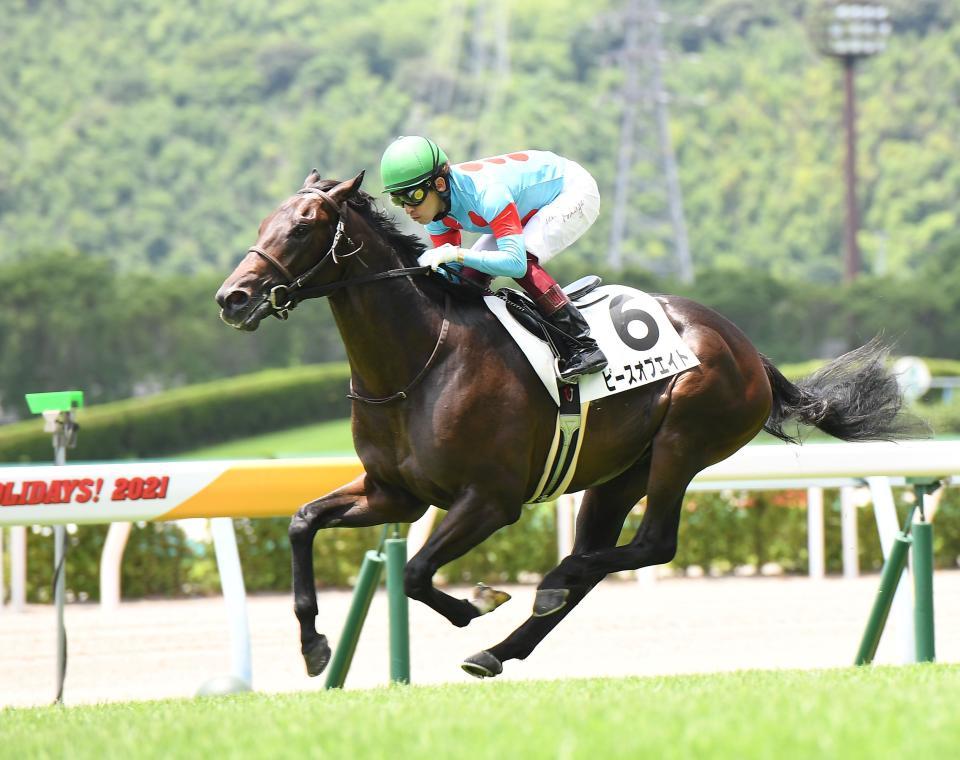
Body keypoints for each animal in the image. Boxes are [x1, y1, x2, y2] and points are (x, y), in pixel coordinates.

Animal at [215, 170, 918, 679]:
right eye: (264, 222)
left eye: (303, 227)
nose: (233, 297)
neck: (419, 362)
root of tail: (747, 348)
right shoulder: (396, 494)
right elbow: (303, 522)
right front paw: (314, 644)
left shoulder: (490, 500)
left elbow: (415, 574)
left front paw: (475, 603)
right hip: (618, 473)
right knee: (601, 556)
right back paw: (502, 646)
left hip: (683, 443)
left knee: (650, 545)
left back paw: (548, 585)